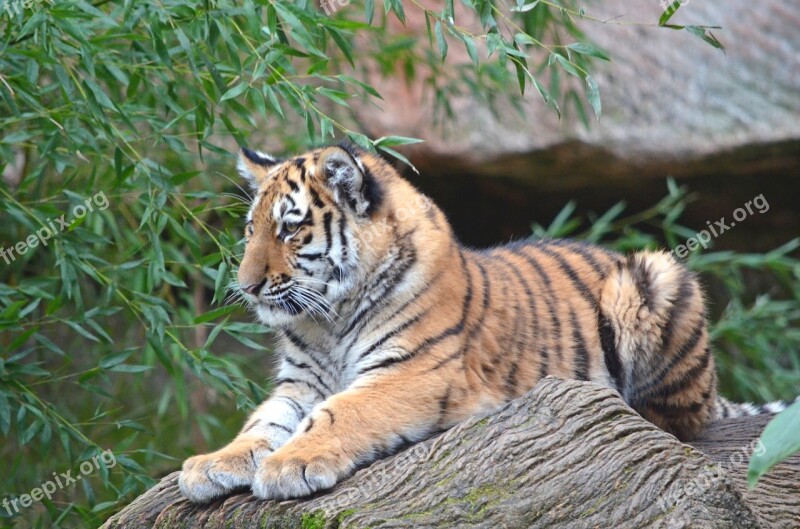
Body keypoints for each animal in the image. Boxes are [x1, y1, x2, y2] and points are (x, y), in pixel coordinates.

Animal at [177, 142, 792, 502]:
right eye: (251, 230)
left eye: (289, 229)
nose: (245, 286)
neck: (327, 319)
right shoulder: (301, 383)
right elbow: (264, 423)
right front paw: (212, 464)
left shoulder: (414, 371)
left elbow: (341, 413)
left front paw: (291, 465)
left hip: (654, 275)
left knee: (682, 418)